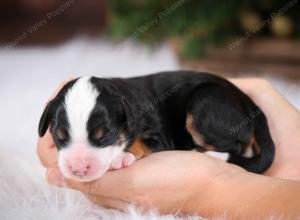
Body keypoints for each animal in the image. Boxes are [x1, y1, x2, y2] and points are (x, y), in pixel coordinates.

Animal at [38, 71, 276, 182]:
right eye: (59, 137)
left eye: (105, 136)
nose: (78, 169)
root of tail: (250, 103)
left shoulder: (160, 136)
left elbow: (139, 143)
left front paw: (121, 157)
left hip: (204, 101)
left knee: (235, 147)